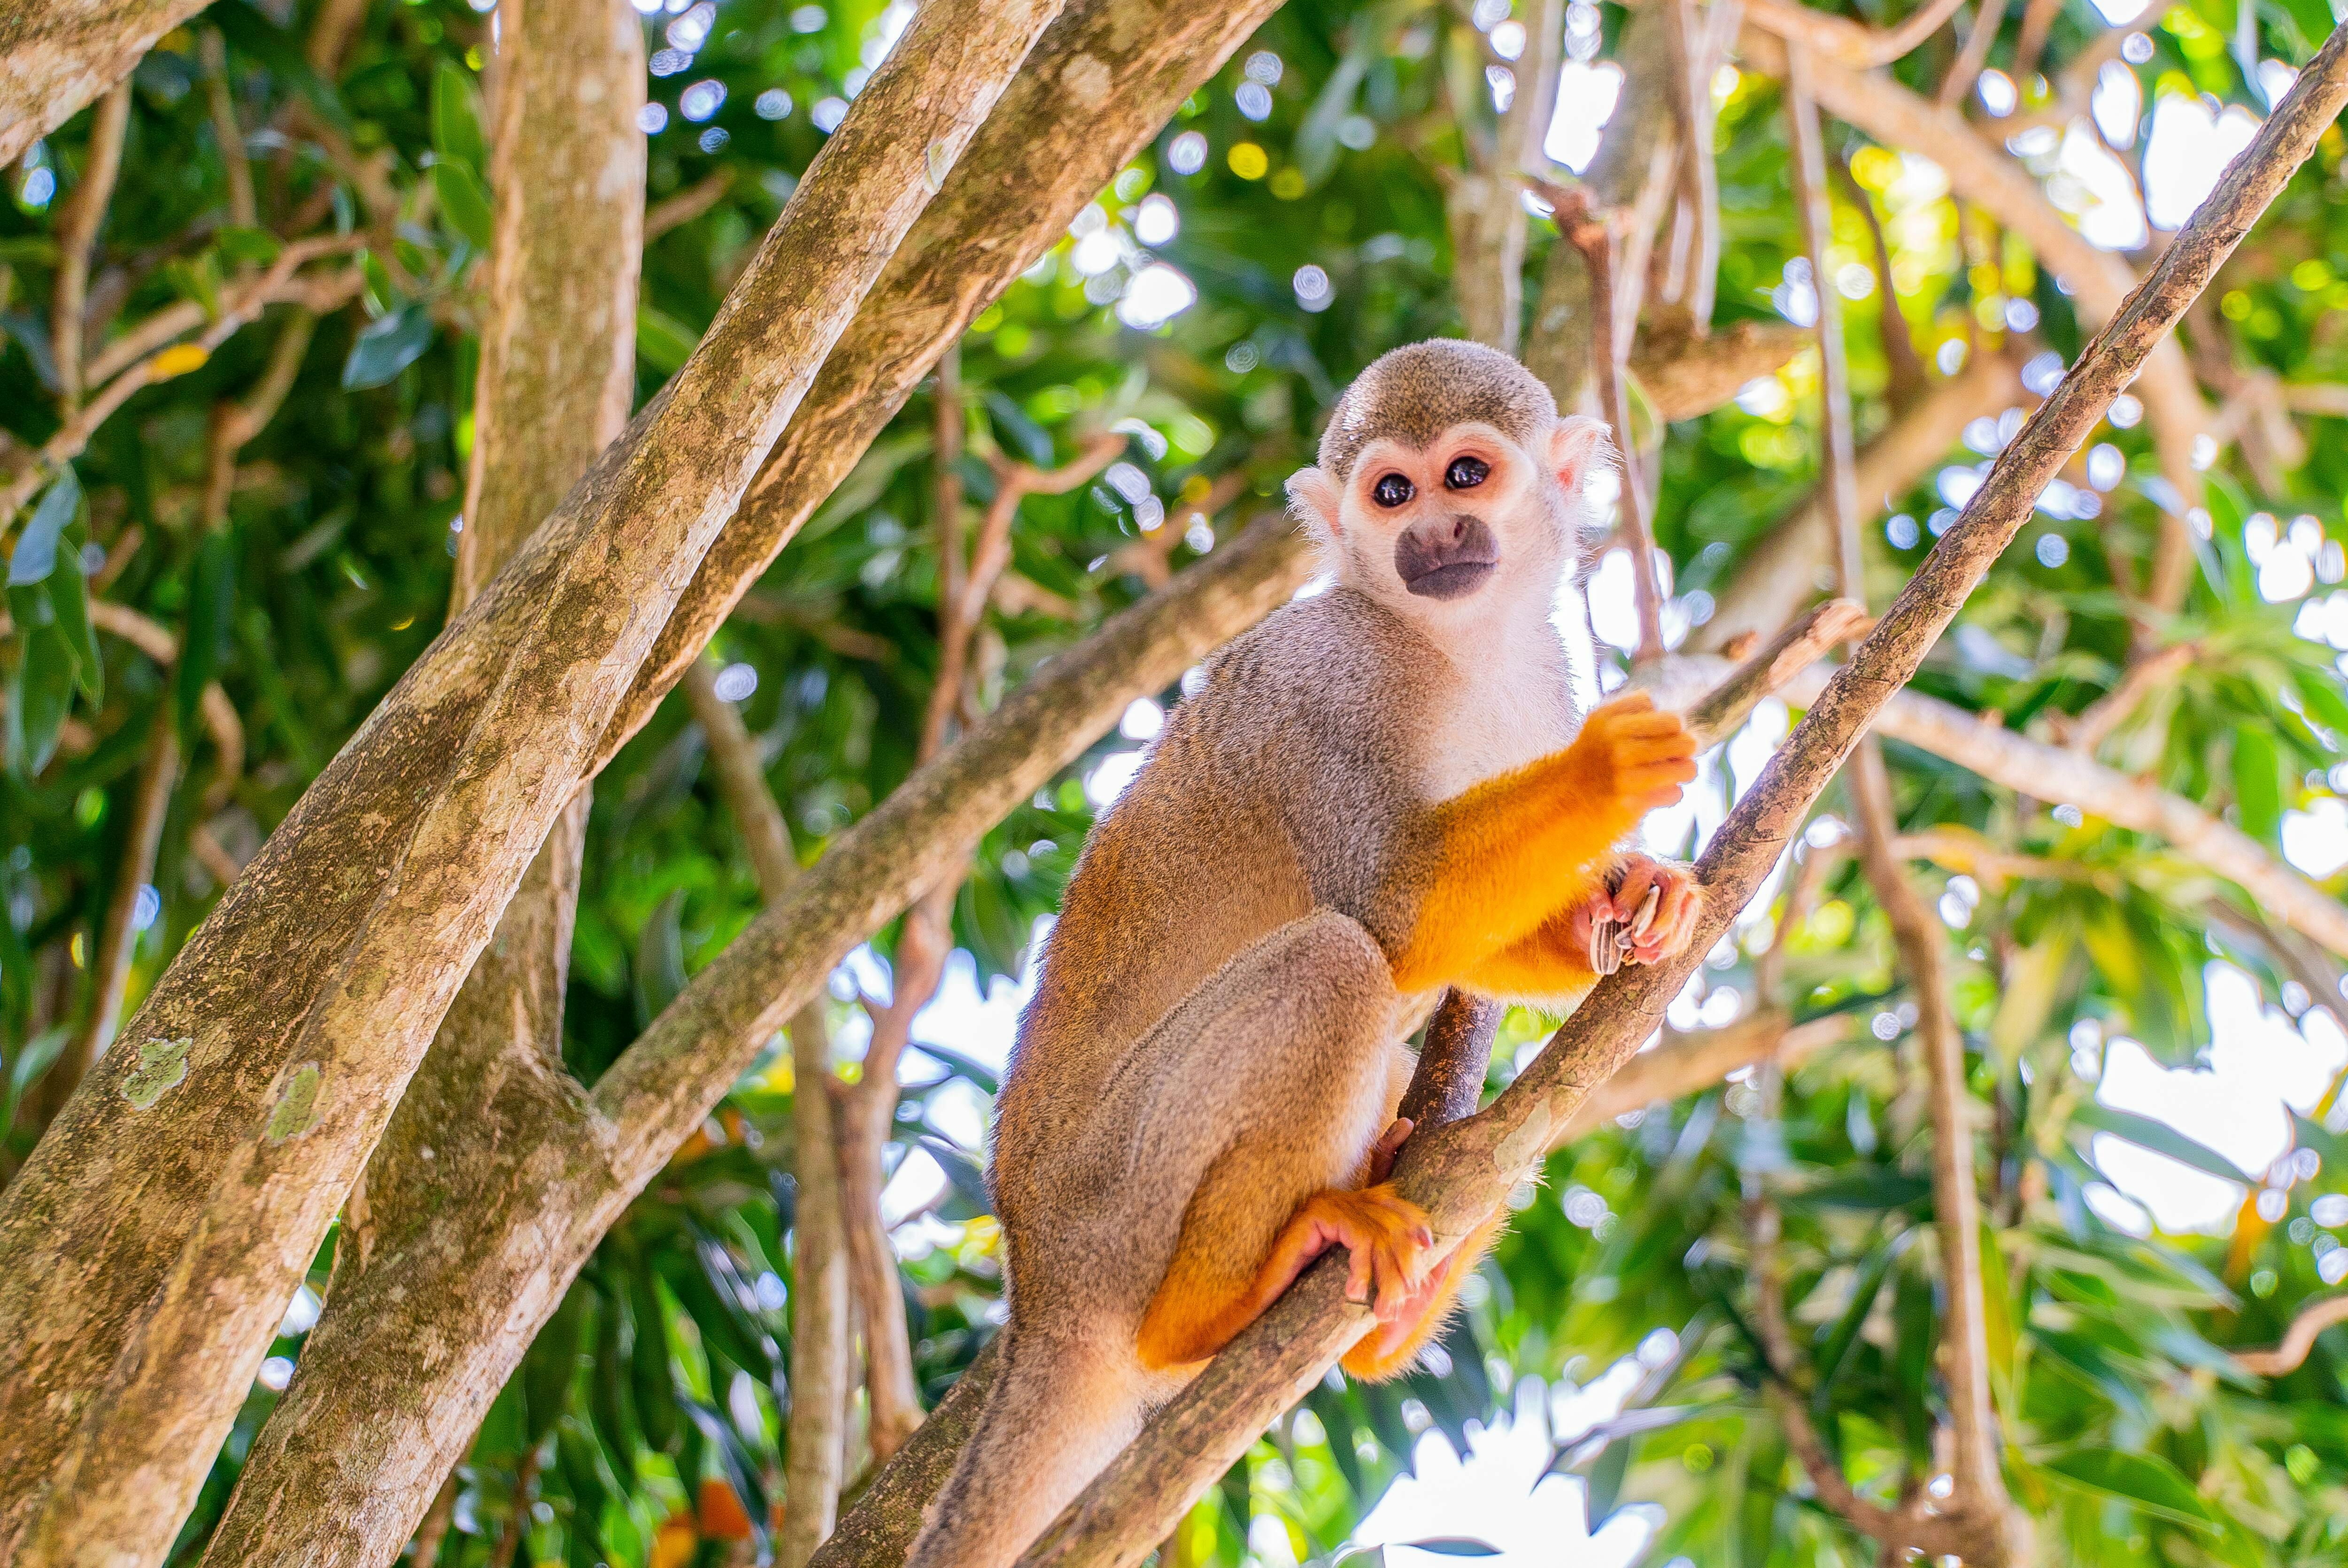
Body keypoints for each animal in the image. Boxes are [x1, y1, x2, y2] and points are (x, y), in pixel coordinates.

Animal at [906, 338, 1700, 1559]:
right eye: (1391, 493)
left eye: (1464, 476)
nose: (1435, 535)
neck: (1446, 644)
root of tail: (1034, 1290)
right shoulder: (1328, 680)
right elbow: (1392, 910)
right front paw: (1602, 774)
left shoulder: (1539, 675)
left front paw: (1626, 904)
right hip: (1116, 1205)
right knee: (1332, 962)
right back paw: (1216, 1307)